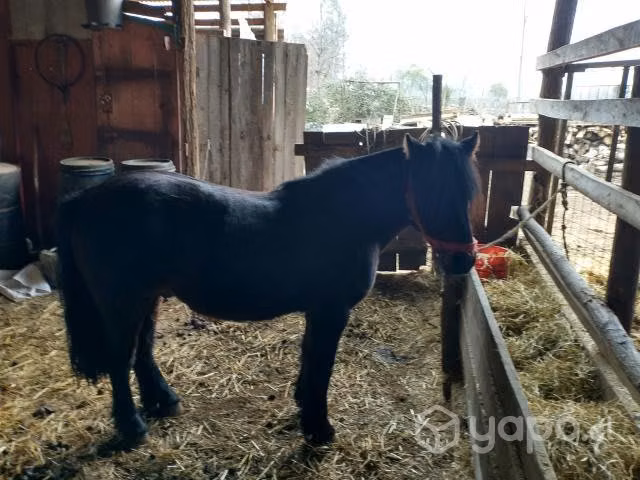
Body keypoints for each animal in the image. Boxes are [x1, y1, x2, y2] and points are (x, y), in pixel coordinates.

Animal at [56, 132, 480, 448]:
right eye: (430, 192)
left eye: (468, 193)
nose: (462, 261)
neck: (343, 218)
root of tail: (87, 198)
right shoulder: (332, 311)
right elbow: (321, 365)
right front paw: (318, 428)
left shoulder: (319, 312)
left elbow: (310, 359)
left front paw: (304, 407)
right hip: (123, 301)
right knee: (120, 358)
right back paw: (132, 427)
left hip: (146, 297)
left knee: (142, 352)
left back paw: (163, 403)